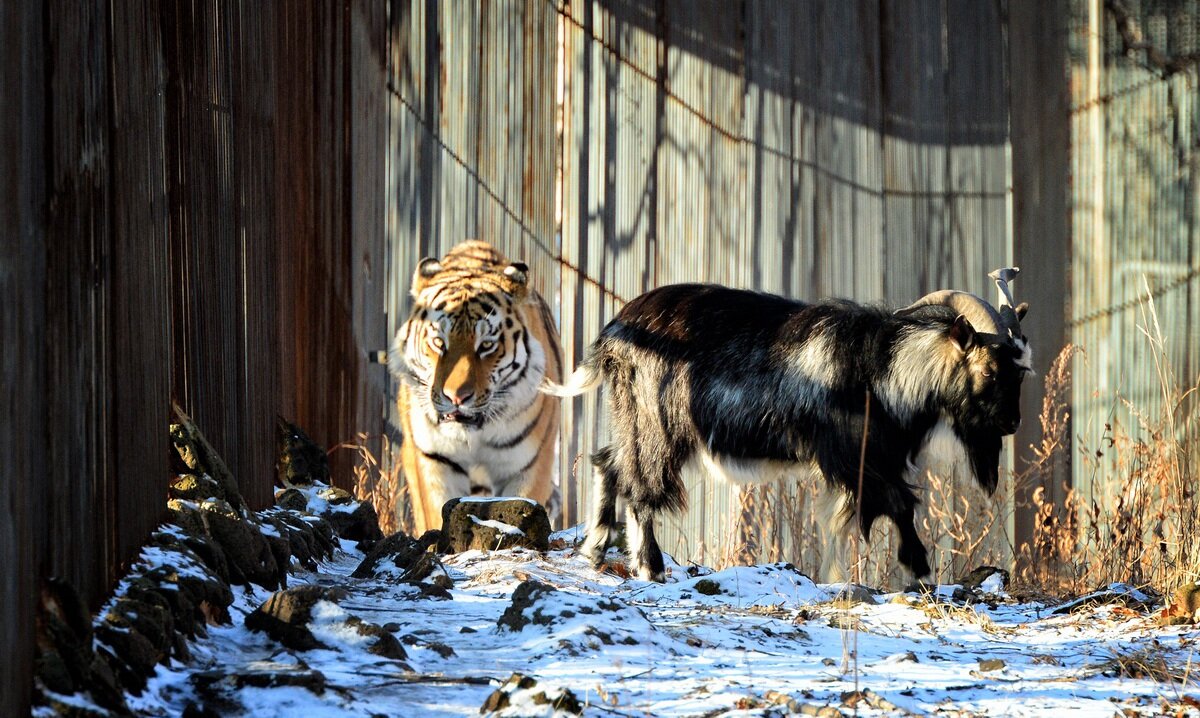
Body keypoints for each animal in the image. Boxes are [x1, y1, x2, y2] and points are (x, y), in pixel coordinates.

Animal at [388, 240, 566, 535]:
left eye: (486, 345)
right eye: (439, 342)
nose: (456, 397)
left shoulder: (528, 465)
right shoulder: (431, 459)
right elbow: (435, 512)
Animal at [549, 272, 1027, 583]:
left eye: (1020, 372)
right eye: (988, 370)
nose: (1012, 423)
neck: (883, 369)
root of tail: (612, 334)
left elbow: (841, 522)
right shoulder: (854, 458)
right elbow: (899, 504)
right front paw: (920, 571)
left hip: (631, 419)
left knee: (608, 463)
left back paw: (595, 547)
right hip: (657, 424)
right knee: (641, 487)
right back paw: (649, 567)